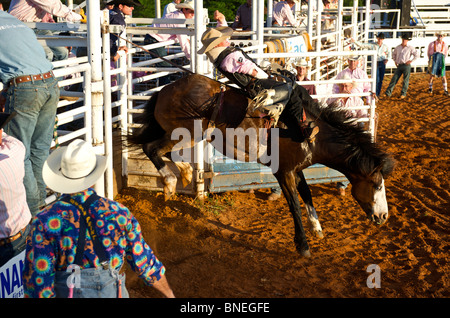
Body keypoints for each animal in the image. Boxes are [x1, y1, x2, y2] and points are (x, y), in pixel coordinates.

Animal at [129, 73, 394, 258]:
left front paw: (317, 227)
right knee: (152, 148)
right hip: (184, 133)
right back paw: (171, 181)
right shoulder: (283, 172)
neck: (307, 132)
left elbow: (307, 195)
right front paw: (303, 245)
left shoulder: (296, 169)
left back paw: (182, 174)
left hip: (182, 135)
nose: (383, 217)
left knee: (162, 151)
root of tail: (166, 89)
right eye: (377, 184)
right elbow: (295, 205)